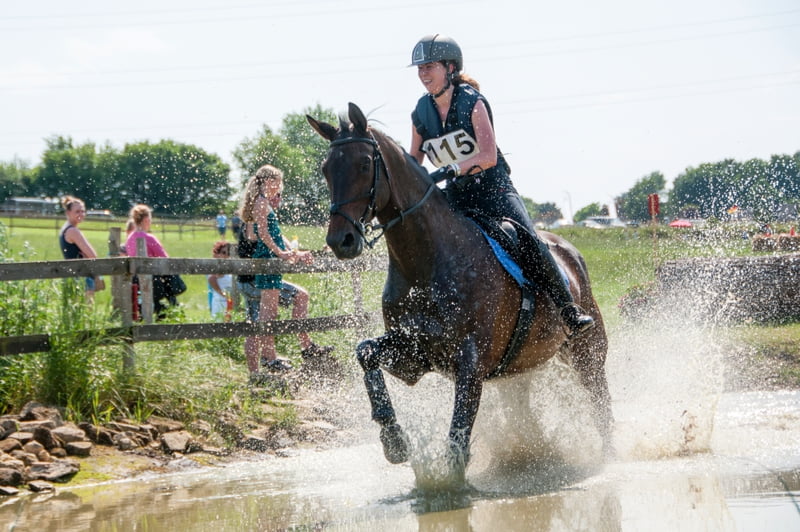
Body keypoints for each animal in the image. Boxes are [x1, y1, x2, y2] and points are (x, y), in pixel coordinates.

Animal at [308, 103, 612, 470]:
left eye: (365, 164)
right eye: (326, 169)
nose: (341, 241)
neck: (427, 263)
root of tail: (569, 250)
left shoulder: (470, 363)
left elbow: (457, 437)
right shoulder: (412, 355)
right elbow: (365, 352)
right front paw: (393, 439)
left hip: (587, 351)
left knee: (601, 403)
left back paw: (610, 455)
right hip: (522, 365)